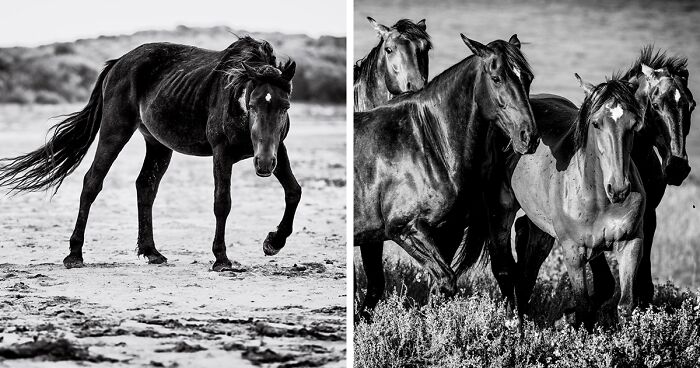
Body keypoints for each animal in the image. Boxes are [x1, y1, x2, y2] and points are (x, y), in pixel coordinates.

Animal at [0, 37, 300, 272]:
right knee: (92, 182)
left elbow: (293, 191)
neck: (236, 94)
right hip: (115, 130)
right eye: (253, 104)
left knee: (145, 186)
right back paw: (75, 255)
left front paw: (273, 242)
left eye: (285, 106)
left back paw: (151, 252)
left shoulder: (278, 150)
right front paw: (221, 259)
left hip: (157, 144)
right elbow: (222, 202)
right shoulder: (222, 153)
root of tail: (119, 62)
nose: (263, 164)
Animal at [352, 34, 540, 320]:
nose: (528, 137)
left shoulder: (448, 231)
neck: (428, 144)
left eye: (528, 78)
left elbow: (440, 285)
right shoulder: (404, 229)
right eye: (496, 78)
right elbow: (445, 280)